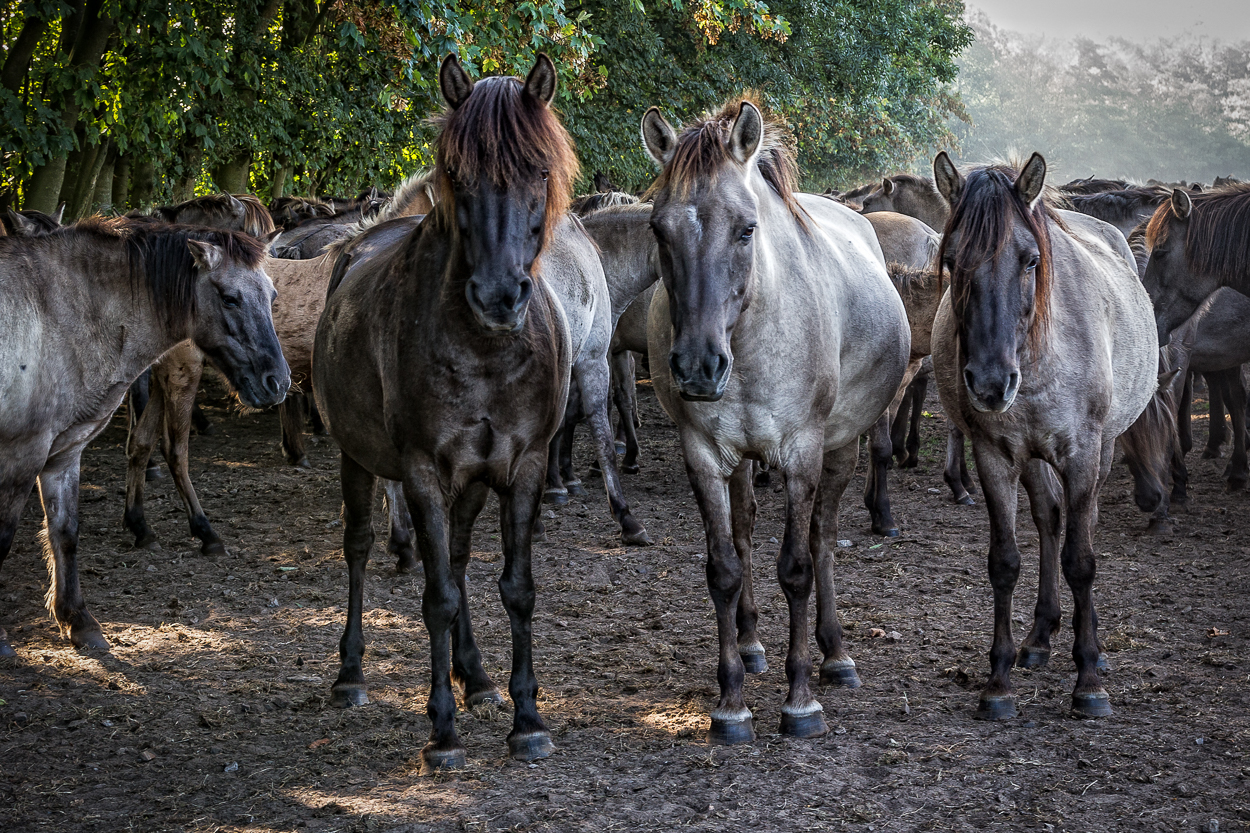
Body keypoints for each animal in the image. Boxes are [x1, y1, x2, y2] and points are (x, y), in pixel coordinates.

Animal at [645, 95, 910, 740]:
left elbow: (796, 567)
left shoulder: (801, 454)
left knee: (822, 540)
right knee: (743, 532)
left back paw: (835, 655)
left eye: (746, 229)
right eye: (659, 229)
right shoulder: (703, 456)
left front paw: (801, 701)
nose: (698, 366)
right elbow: (723, 567)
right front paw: (731, 701)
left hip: (838, 450)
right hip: (741, 463)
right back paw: (750, 645)